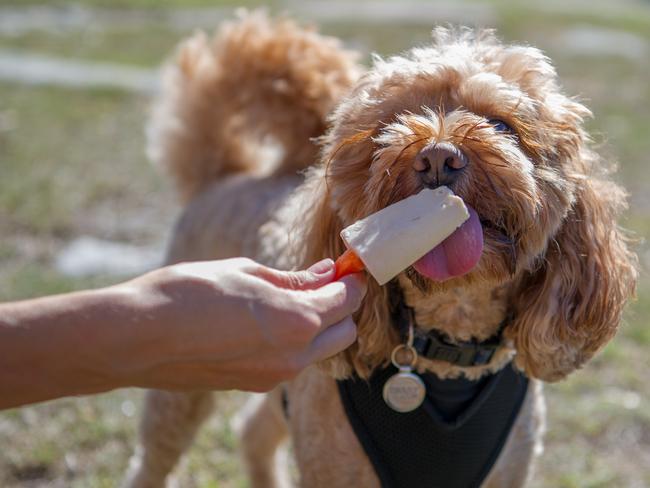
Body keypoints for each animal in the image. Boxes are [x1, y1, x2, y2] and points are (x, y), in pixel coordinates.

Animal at [121, 11, 632, 488]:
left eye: (501, 125)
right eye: (390, 125)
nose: (438, 157)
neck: (445, 347)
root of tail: (227, 174)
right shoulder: (335, 465)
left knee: (253, 430)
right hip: (179, 387)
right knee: (155, 459)